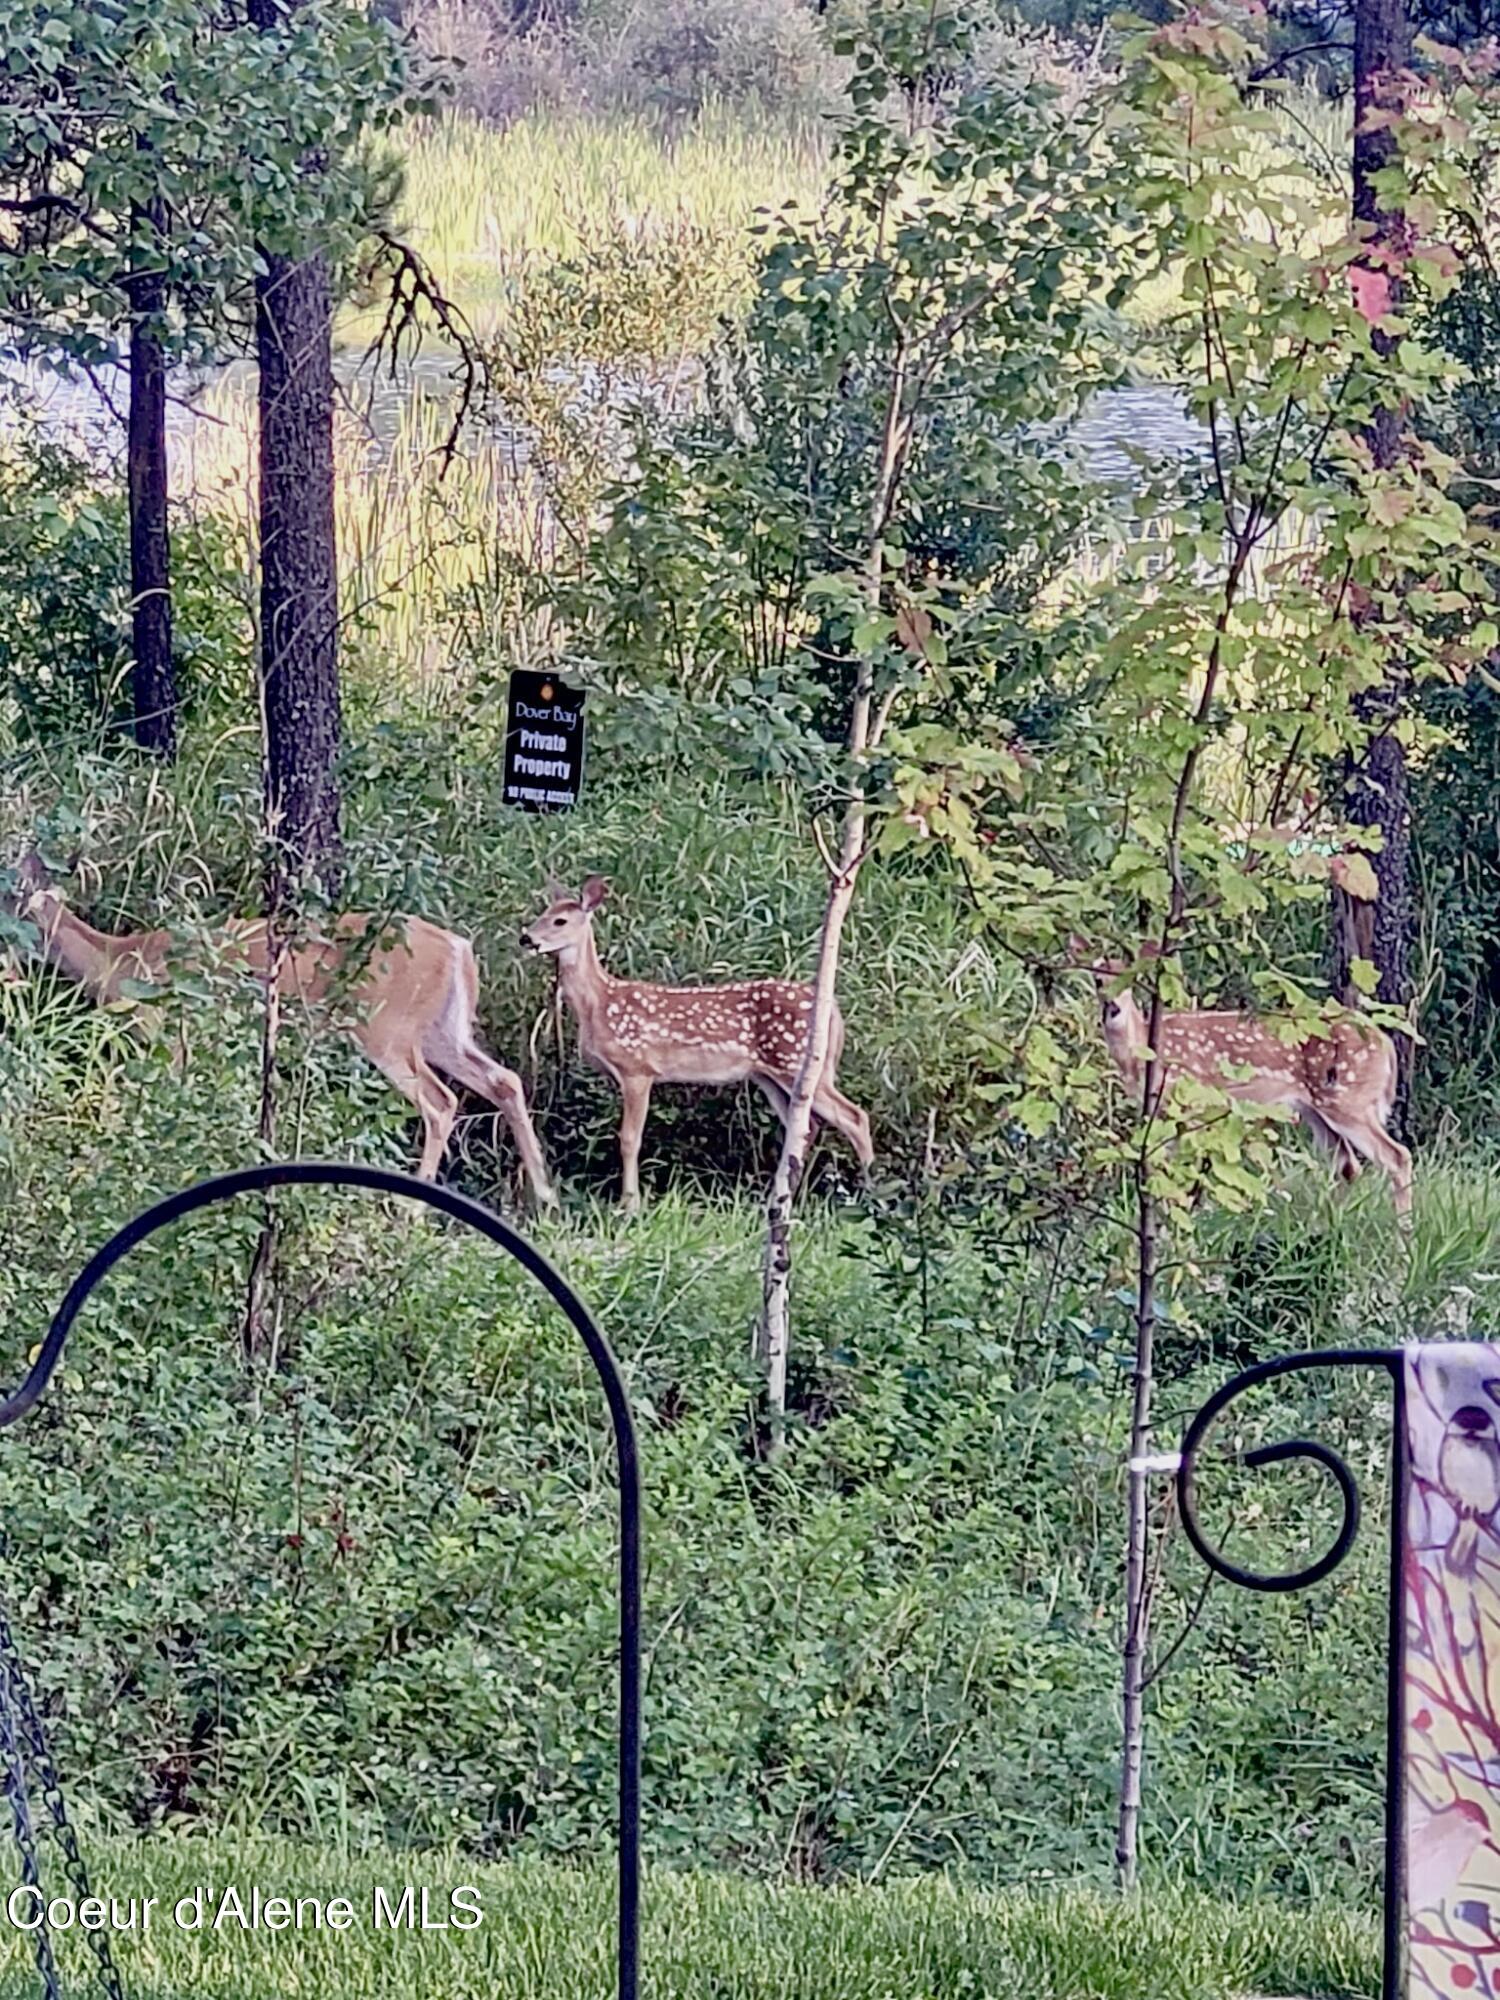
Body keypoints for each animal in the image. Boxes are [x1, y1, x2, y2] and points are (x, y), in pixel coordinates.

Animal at [6, 858, 556, 1206]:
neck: (122, 962)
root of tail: (460, 949)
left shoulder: (173, 1035)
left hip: (388, 1029)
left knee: (441, 1102)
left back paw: (412, 1210)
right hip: (443, 1030)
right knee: (504, 1080)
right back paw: (544, 1197)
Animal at [520, 876, 873, 1211]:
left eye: (560, 921)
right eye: (542, 913)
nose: (526, 938)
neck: (599, 1004)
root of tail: (834, 1012)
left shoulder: (638, 1069)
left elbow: (629, 1138)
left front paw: (629, 1205)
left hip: (798, 1061)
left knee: (855, 1117)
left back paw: (871, 1196)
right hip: (769, 1075)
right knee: (803, 1127)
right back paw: (781, 1198)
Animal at [1093, 968, 1413, 1221]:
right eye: (1097, 978)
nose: (1112, 1007)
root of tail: (1385, 1043)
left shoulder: (1188, 1101)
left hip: (1349, 1098)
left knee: (1397, 1156)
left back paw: (1404, 1243)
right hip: (1316, 1109)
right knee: (1347, 1165)